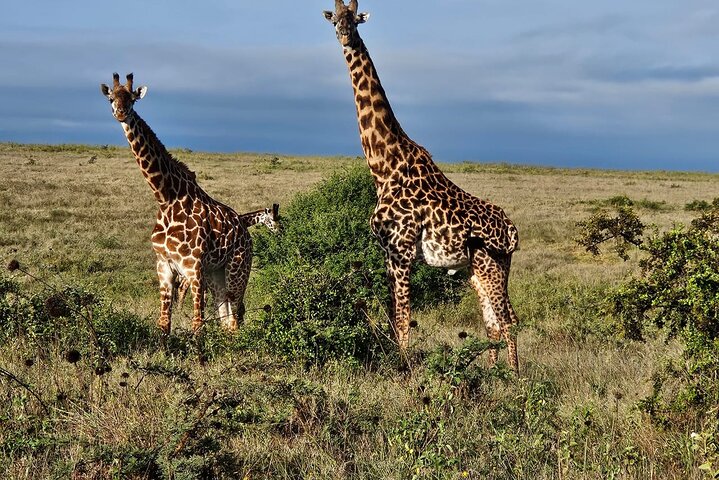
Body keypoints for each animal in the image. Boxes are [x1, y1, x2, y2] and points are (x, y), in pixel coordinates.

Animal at [100, 72, 252, 334]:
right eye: (111, 98)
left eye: (132, 99)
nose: (121, 113)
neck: (166, 198)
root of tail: (247, 233)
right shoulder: (164, 267)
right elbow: (164, 324)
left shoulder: (193, 268)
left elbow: (197, 324)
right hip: (216, 273)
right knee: (225, 315)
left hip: (237, 269)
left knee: (234, 318)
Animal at [323, 1, 521, 371]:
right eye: (334, 19)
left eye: (355, 19)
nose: (344, 35)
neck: (384, 166)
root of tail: (514, 233)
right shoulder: (388, 253)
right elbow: (392, 317)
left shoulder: (401, 251)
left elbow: (403, 320)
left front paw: (405, 371)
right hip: (475, 268)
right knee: (492, 321)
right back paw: (493, 374)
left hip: (492, 263)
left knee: (507, 320)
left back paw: (516, 379)